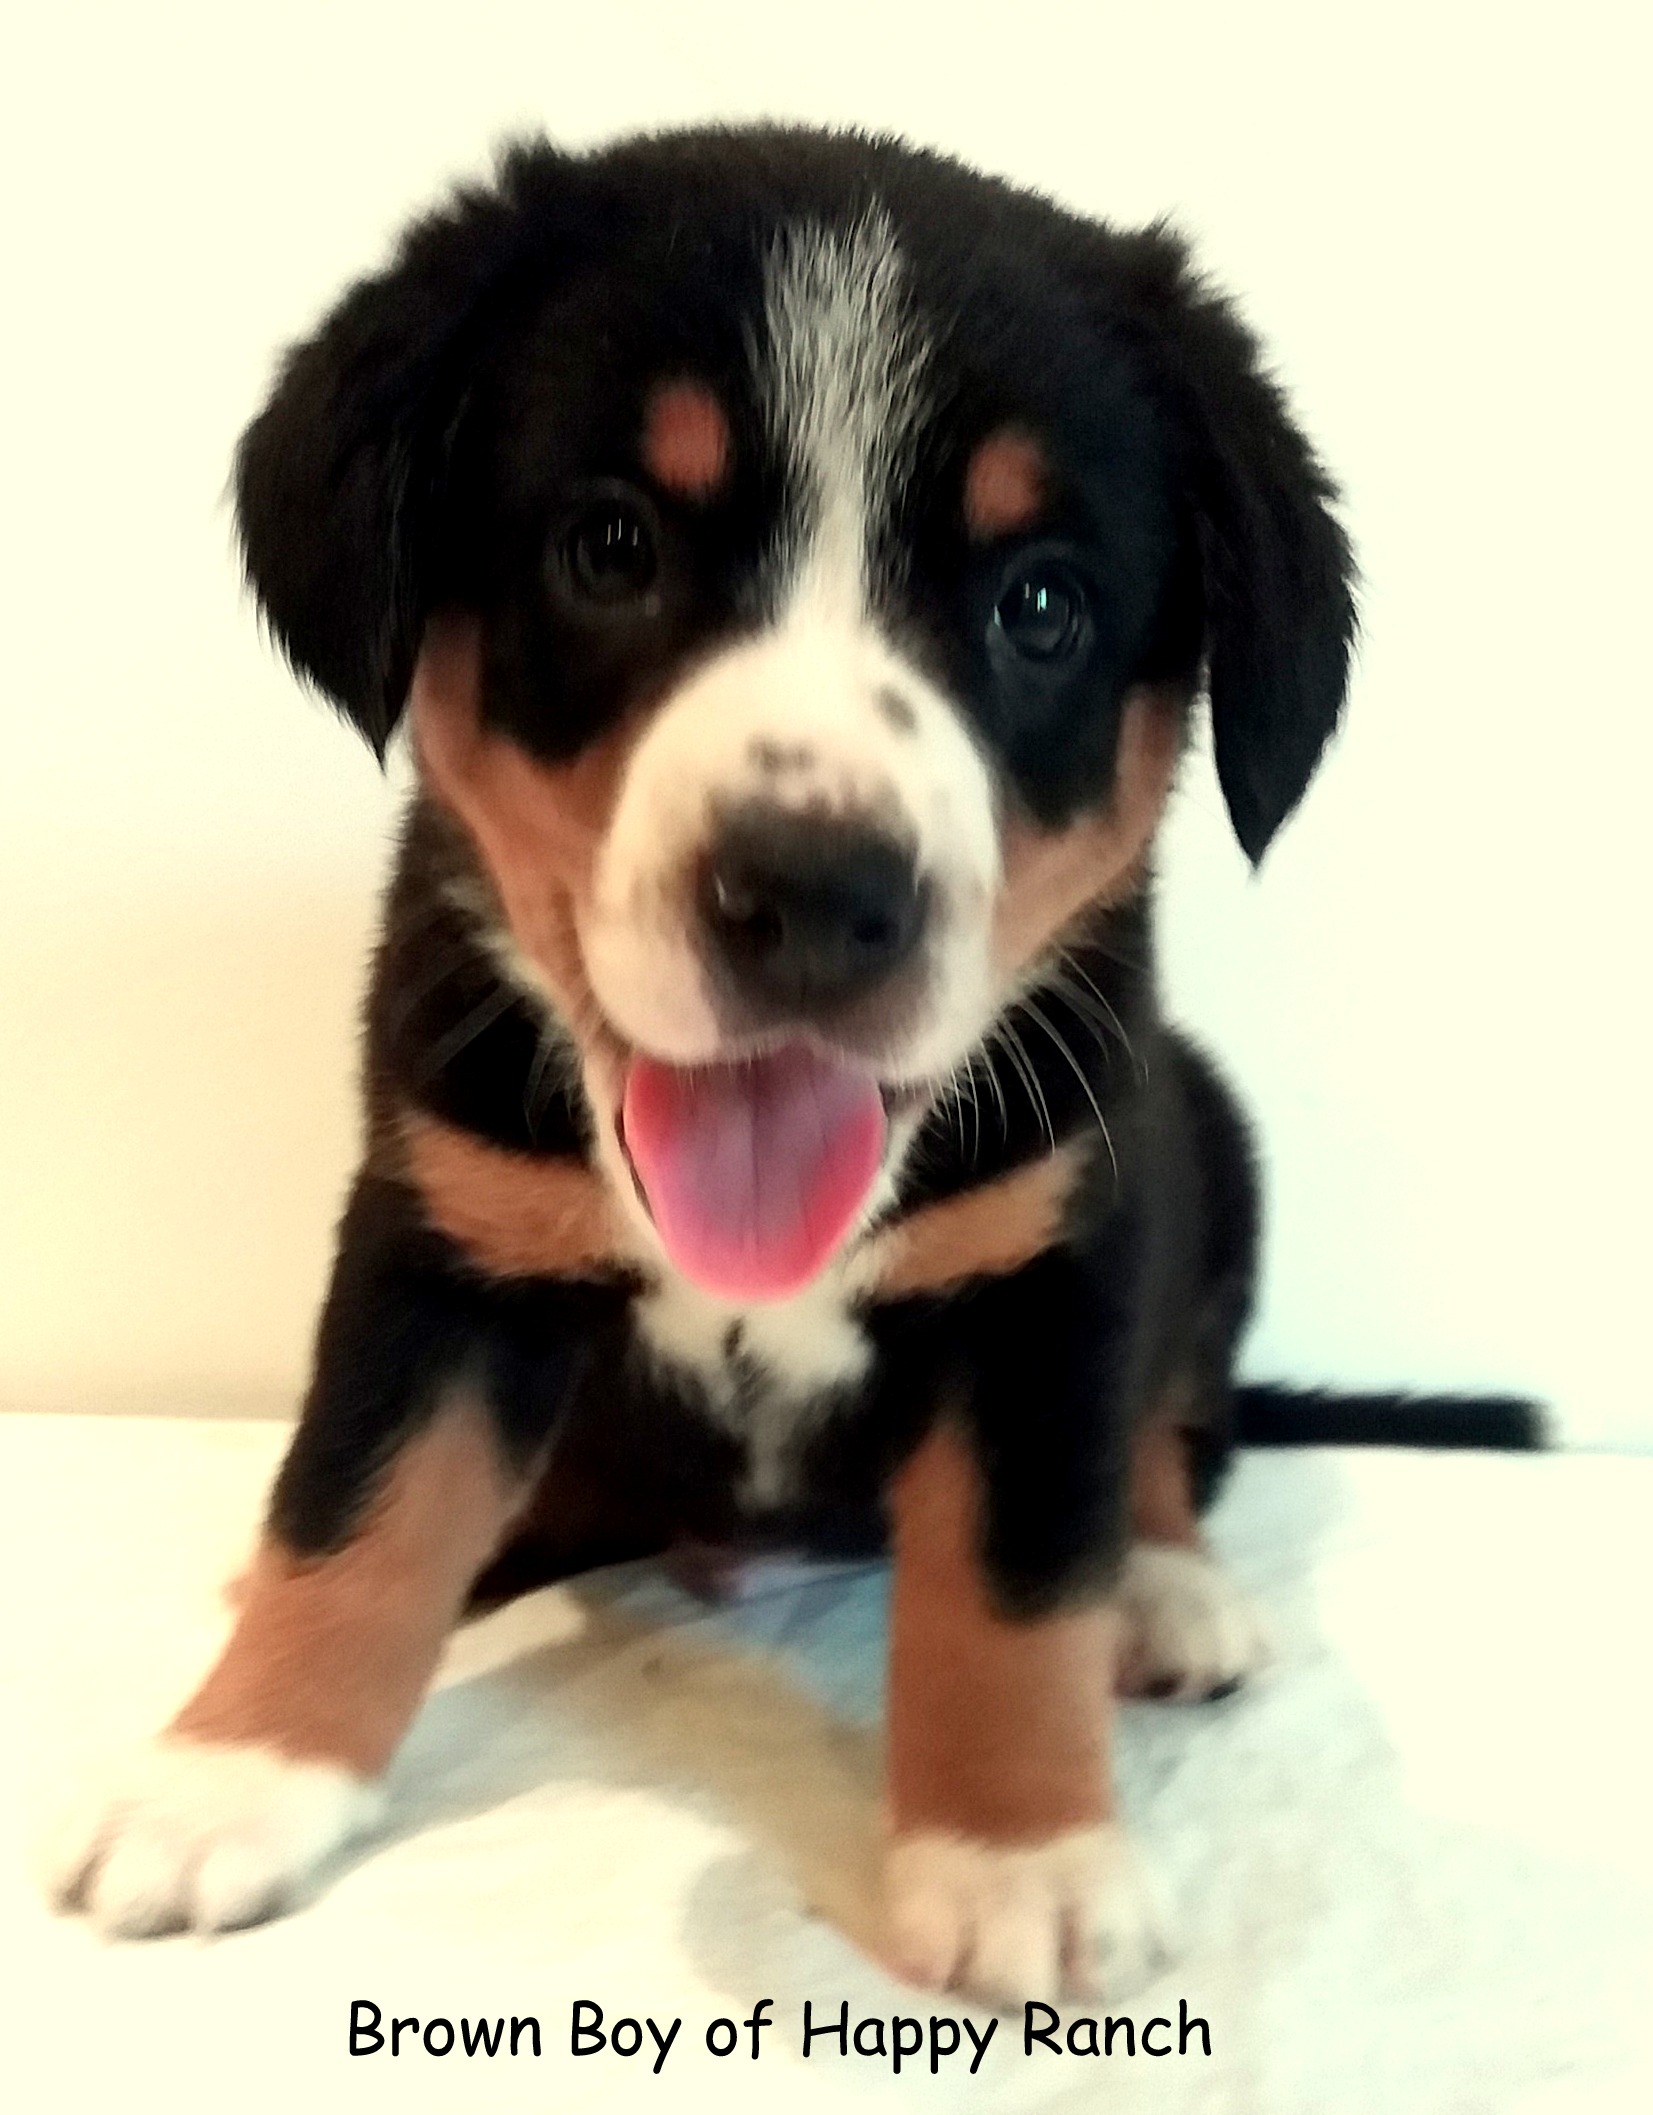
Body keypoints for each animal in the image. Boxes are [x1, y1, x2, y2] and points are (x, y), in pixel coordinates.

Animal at [44, 123, 1419, 1999]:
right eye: (610, 547)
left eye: (1041, 604)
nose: (815, 893)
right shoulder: (438, 1231)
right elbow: (360, 1500)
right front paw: (233, 1774)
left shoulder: (1055, 1259)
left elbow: (1015, 1572)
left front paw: (1021, 1858)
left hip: (1200, 1135)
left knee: (1169, 1428)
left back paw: (1164, 1587)